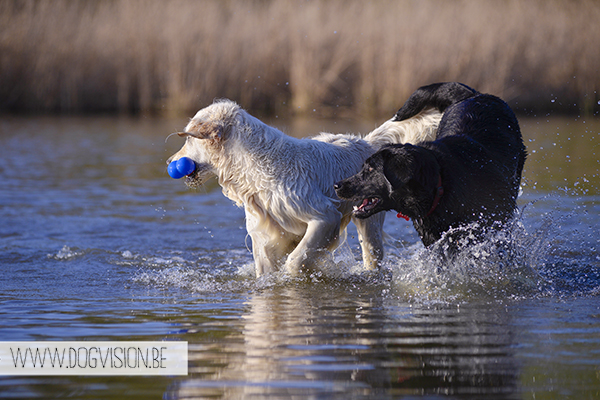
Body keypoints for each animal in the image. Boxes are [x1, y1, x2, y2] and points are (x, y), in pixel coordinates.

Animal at [168, 100, 440, 276]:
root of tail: (365, 143)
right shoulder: (264, 235)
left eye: (189, 139)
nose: (170, 161)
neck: (256, 166)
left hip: (369, 224)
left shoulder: (324, 217)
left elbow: (296, 261)